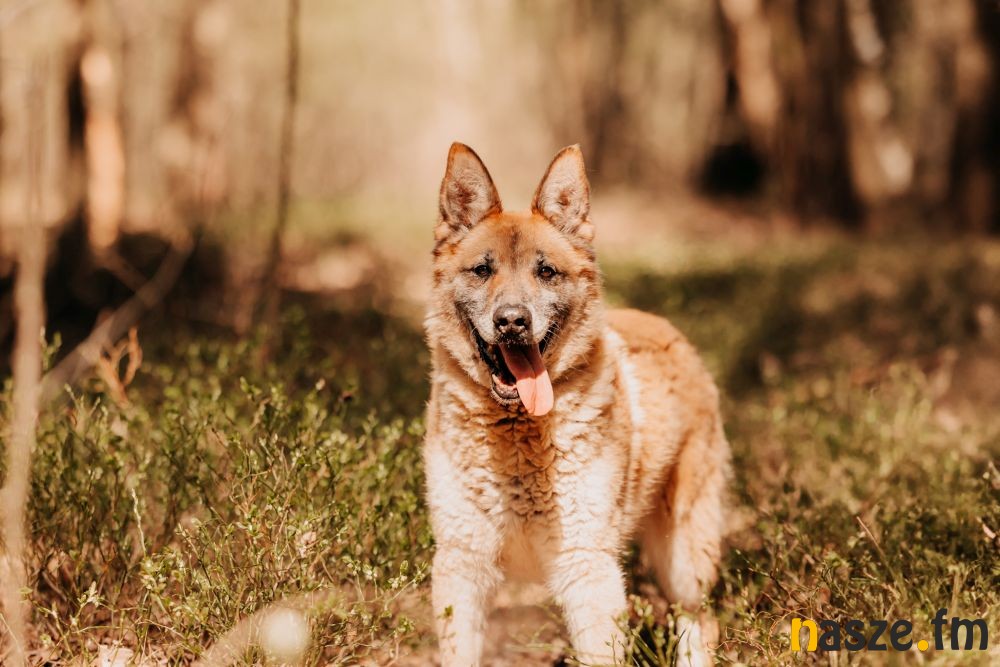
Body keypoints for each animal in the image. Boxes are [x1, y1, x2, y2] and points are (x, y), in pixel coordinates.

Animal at [423, 143, 730, 666]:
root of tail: (672, 332)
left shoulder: (588, 571)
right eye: (482, 270)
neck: (517, 433)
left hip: (684, 558)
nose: (512, 322)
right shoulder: (462, 568)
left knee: (699, 621)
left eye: (546, 271)